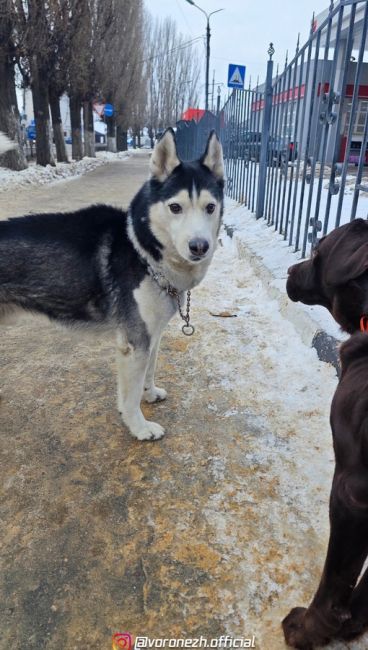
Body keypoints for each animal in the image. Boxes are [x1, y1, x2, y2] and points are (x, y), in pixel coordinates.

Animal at [0, 128, 224, 440]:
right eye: (175, 207)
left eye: (210, 207)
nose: (199, 246)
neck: (142, 251)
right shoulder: (134, 342)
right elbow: (130, 397)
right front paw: (139, 427)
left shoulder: (152, 335)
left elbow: (150, 372)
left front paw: (150, 393)